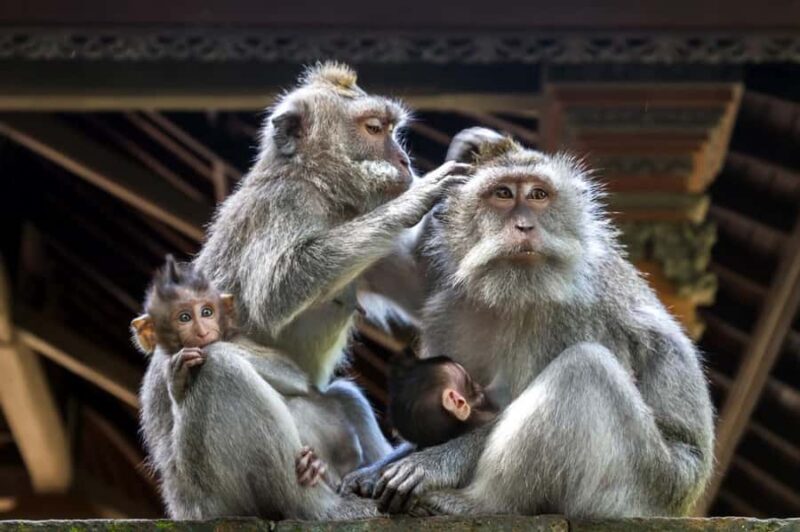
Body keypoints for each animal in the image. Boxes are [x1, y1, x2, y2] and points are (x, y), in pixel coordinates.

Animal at [138, 62, 471, 520]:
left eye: (392, 129)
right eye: (373, 128)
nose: (404, 160)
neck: (318, 186)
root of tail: (178, 503)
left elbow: (429, 290)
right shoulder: (283, 205)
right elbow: (276, 291)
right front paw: (415, 199)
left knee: (342, 396)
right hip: (209, 496)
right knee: (217, 369)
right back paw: (323, 508)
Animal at [342, 128, 715, 519]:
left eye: (538, 195)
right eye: (503, 194)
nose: (524, 226)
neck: (513, 292)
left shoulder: (573, 313)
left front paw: (432, 464)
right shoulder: (446, 283)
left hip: (647, 484)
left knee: (585, 368)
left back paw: (479, 503)